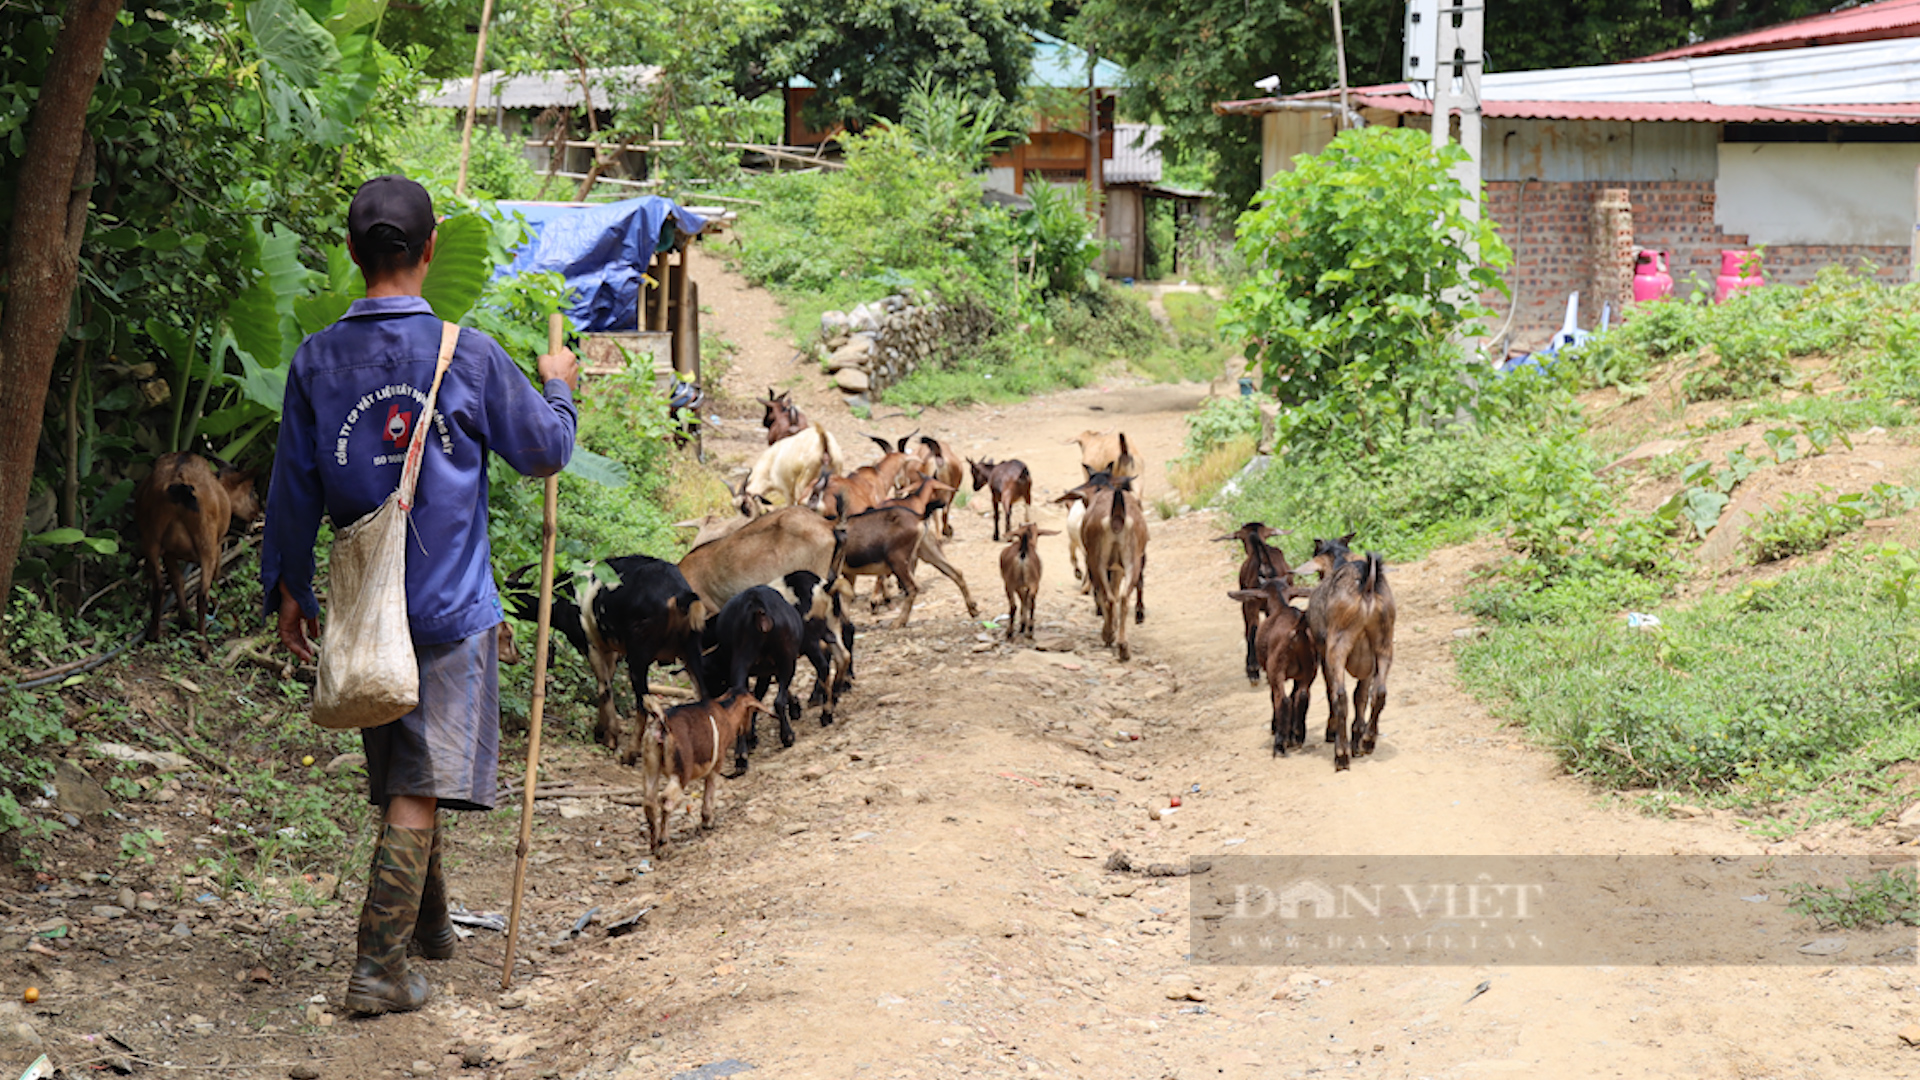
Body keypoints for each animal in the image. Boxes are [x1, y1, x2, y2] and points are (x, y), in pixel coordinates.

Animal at [136, 451, 263, 645]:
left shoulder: (169, 553)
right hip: (207, 543)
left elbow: (178, 581)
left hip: (150, 538)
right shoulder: (218, 545)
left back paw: (153, 633)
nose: (257, 512)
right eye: (251, 492)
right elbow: (215, 578)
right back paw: (202, 644)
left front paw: (184, 620)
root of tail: (180, 483)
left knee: (159, 585)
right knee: (201, 593)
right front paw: (214, 606)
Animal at [637, 687, 771, 849]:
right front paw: (708, 821)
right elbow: (710, 788)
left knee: (649, 802)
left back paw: (654, 845)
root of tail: (662, 724)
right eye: (751, 711)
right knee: (666, 799)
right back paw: (664, 841)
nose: (749, 732)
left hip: (651, 766)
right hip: (681, 772)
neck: (726, 713)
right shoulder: (717, 762)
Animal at [1228, 580, 1320, 757]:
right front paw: (1291, 734)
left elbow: (1274, 697)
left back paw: (1279, 745)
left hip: (1276, 668)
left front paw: (1276, 728)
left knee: (1282, 699)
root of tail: (1298, 629)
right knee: (1302, 696)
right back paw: (1298, 735)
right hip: (1310, 668)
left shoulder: (1271, 671)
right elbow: (1294, 695)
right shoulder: (1299, 675)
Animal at [1305, 530, 1397, 764]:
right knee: (1379, 692)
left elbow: (1333, 691)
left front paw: (1334, 734)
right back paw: (1368, 741)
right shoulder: (1369, 663)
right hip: (1384, 643)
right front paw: (1358, 737)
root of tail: (1367, 584)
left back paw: (1341, 753)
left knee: (1339, 695)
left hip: (1337, 646)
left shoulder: (1323, 654)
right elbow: (1361, 695)